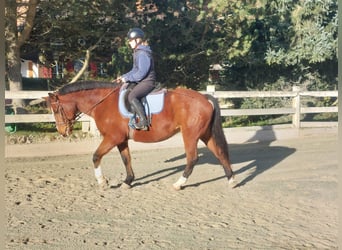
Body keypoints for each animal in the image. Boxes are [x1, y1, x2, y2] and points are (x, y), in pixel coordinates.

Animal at [43, 81, 235, 190]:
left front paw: (102, 182)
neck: (103, 103)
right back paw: (231, 180)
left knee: (192, 158)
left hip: (190, 135)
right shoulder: (120, 140)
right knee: (219, 153)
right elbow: (126, 159)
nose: (62, 132)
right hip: (204, 134)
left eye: (56, 109)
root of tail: (205, 98)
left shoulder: (112, 138)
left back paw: (179, 184)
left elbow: (96, 156)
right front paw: (128, 181)